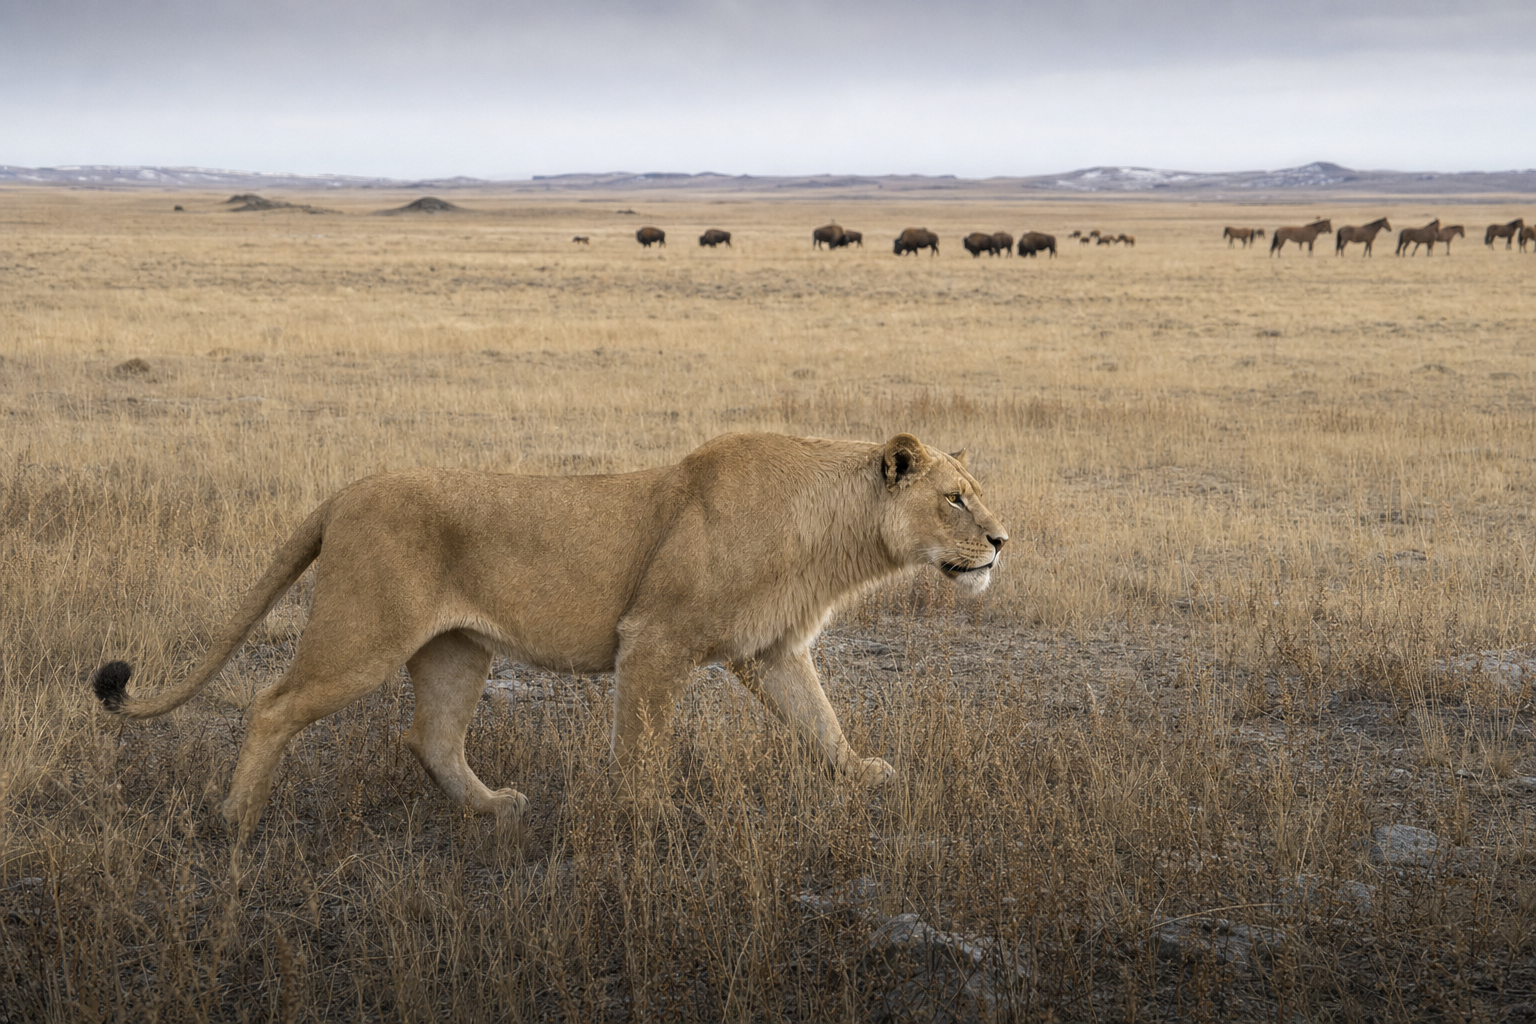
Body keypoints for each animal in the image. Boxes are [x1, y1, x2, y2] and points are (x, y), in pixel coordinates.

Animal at [91, 432, 1008, 839]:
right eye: (955, 499)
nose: (1001, 541)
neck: (831, 534)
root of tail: (346, 491)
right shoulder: (655, 638)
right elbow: (641, 744)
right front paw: (649, 821)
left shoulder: (772, 652)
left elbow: (821, 721)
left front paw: (864, 775)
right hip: (364, 634)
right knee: (274, 705)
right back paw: (237, 820)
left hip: (456, 650)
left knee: (430, 736)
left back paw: (493, 809)